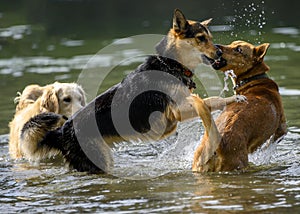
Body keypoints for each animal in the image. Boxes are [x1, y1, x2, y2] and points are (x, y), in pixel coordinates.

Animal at [22, 9, 244, 173]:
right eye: (200, 38)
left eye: (210, 37)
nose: (219, 52)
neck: (171, 65)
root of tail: (61, 131)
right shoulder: (177, 110)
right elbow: (211, 100)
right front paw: (233, 98)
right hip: (99, 161)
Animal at [191, 40, 288, 172]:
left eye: (238, 49)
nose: (216, 46)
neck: (253, 80)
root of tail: (218, 143)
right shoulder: (282, 127)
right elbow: (269, 144)